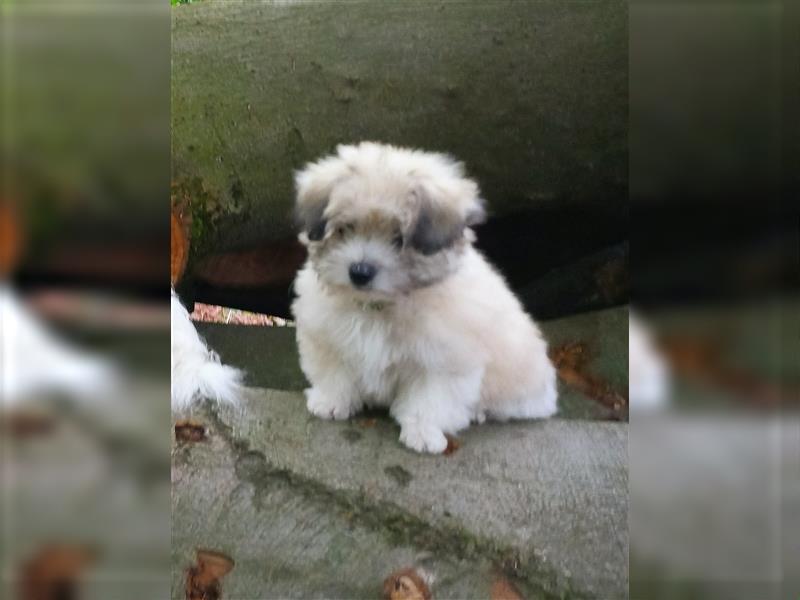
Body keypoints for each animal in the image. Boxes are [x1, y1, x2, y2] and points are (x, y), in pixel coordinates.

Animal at [290, 143, 560, 452]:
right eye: (345, 228)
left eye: (399, 238)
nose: (359, 272)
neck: (379, 307)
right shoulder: (326, 337)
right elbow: (334, 371)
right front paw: (330, 402)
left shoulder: (444, 361)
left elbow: (431, 399)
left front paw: (422, 432)